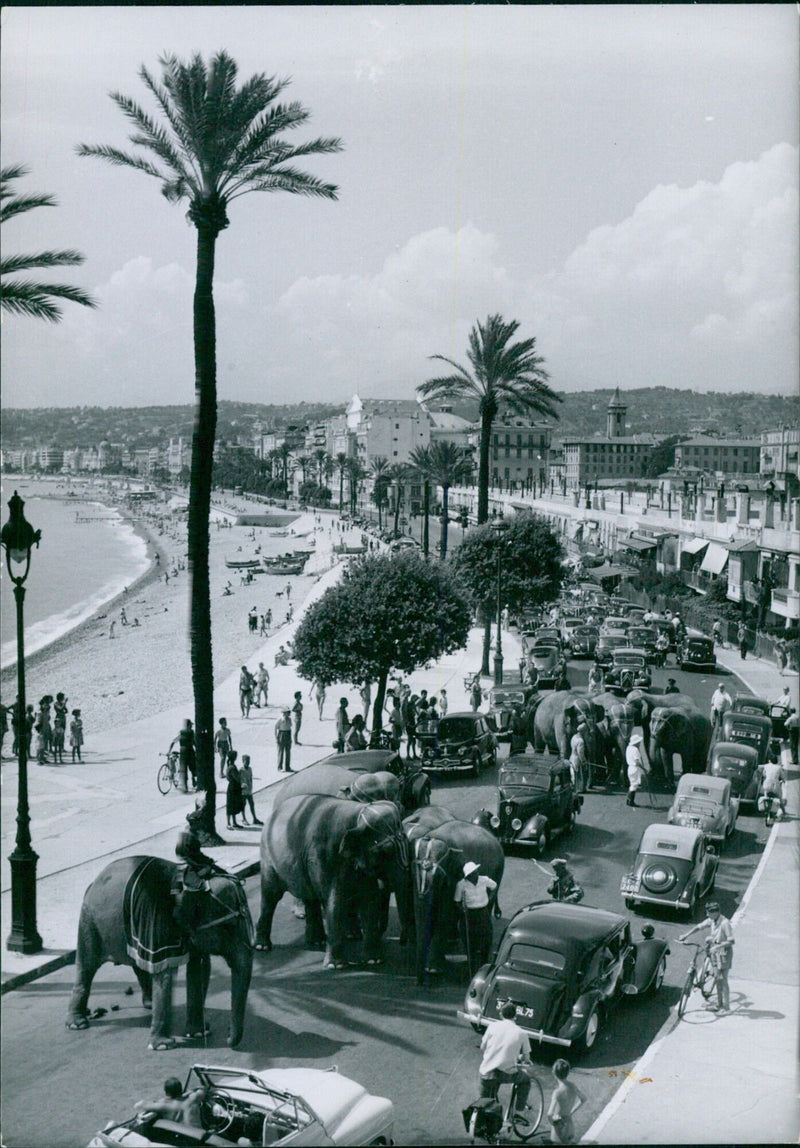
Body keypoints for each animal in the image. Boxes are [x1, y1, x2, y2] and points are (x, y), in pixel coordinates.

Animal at [65, 863, 252, 1051]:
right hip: (89, 924)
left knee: (138, 964)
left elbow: (199, 969)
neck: (192, 882)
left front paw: (199, 1033)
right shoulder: (158, 926)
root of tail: (93, 883)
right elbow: (165, 974)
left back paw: (150, 1004)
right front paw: (163, 1046)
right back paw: (77, 1024)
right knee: (86, 966)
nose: (228, 1036)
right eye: (229, 927)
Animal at [254, 799, 408, 968]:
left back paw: (317, 941)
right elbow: (335, 902)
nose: (402, 943)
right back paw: (262, 947)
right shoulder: (326, 857)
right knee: (271, 896)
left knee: (310, 897)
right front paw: (336, 966)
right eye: (386, 852)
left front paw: (374, 961)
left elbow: (369, 902)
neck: (358, 813)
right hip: (268, 858)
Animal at [401, 808, 502, 987]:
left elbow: (445, 916)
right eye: (411, 875)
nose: (419, 983)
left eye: (440, 879)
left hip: (499, 870)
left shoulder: (455, 876)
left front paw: (433, 970)